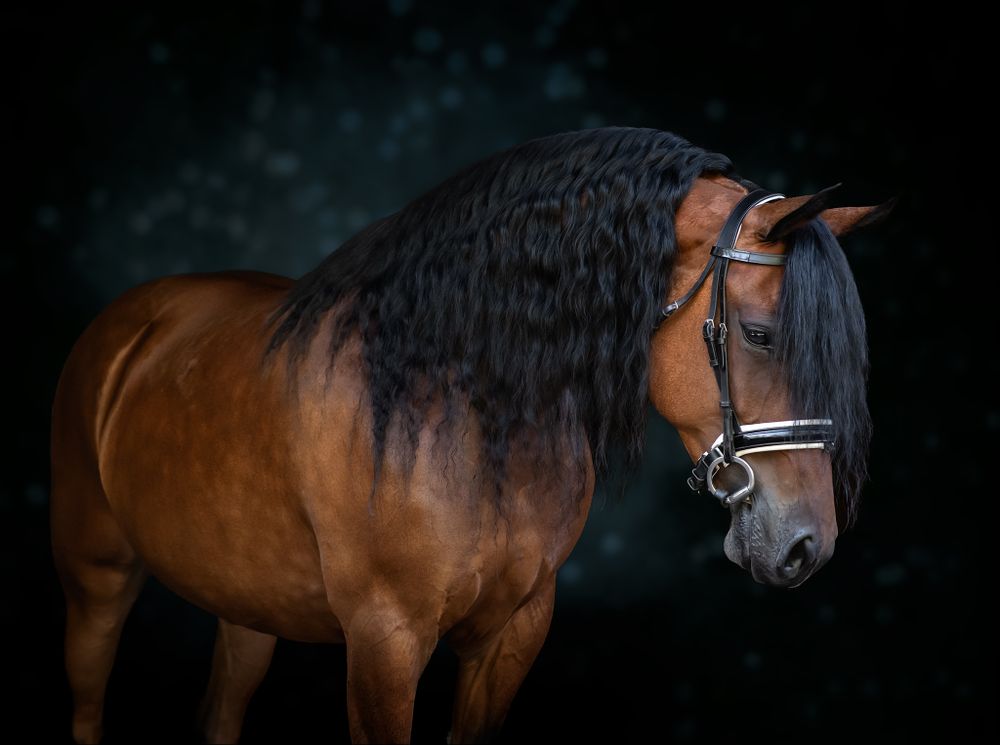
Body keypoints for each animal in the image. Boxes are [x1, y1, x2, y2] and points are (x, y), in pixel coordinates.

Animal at [51, 127, 889, 743]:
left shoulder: (512, 632)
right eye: (759, 333)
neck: (459, 411)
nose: (808, 544)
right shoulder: (384, 642)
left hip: (246, 608)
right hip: (98, 578)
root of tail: (133, 320)